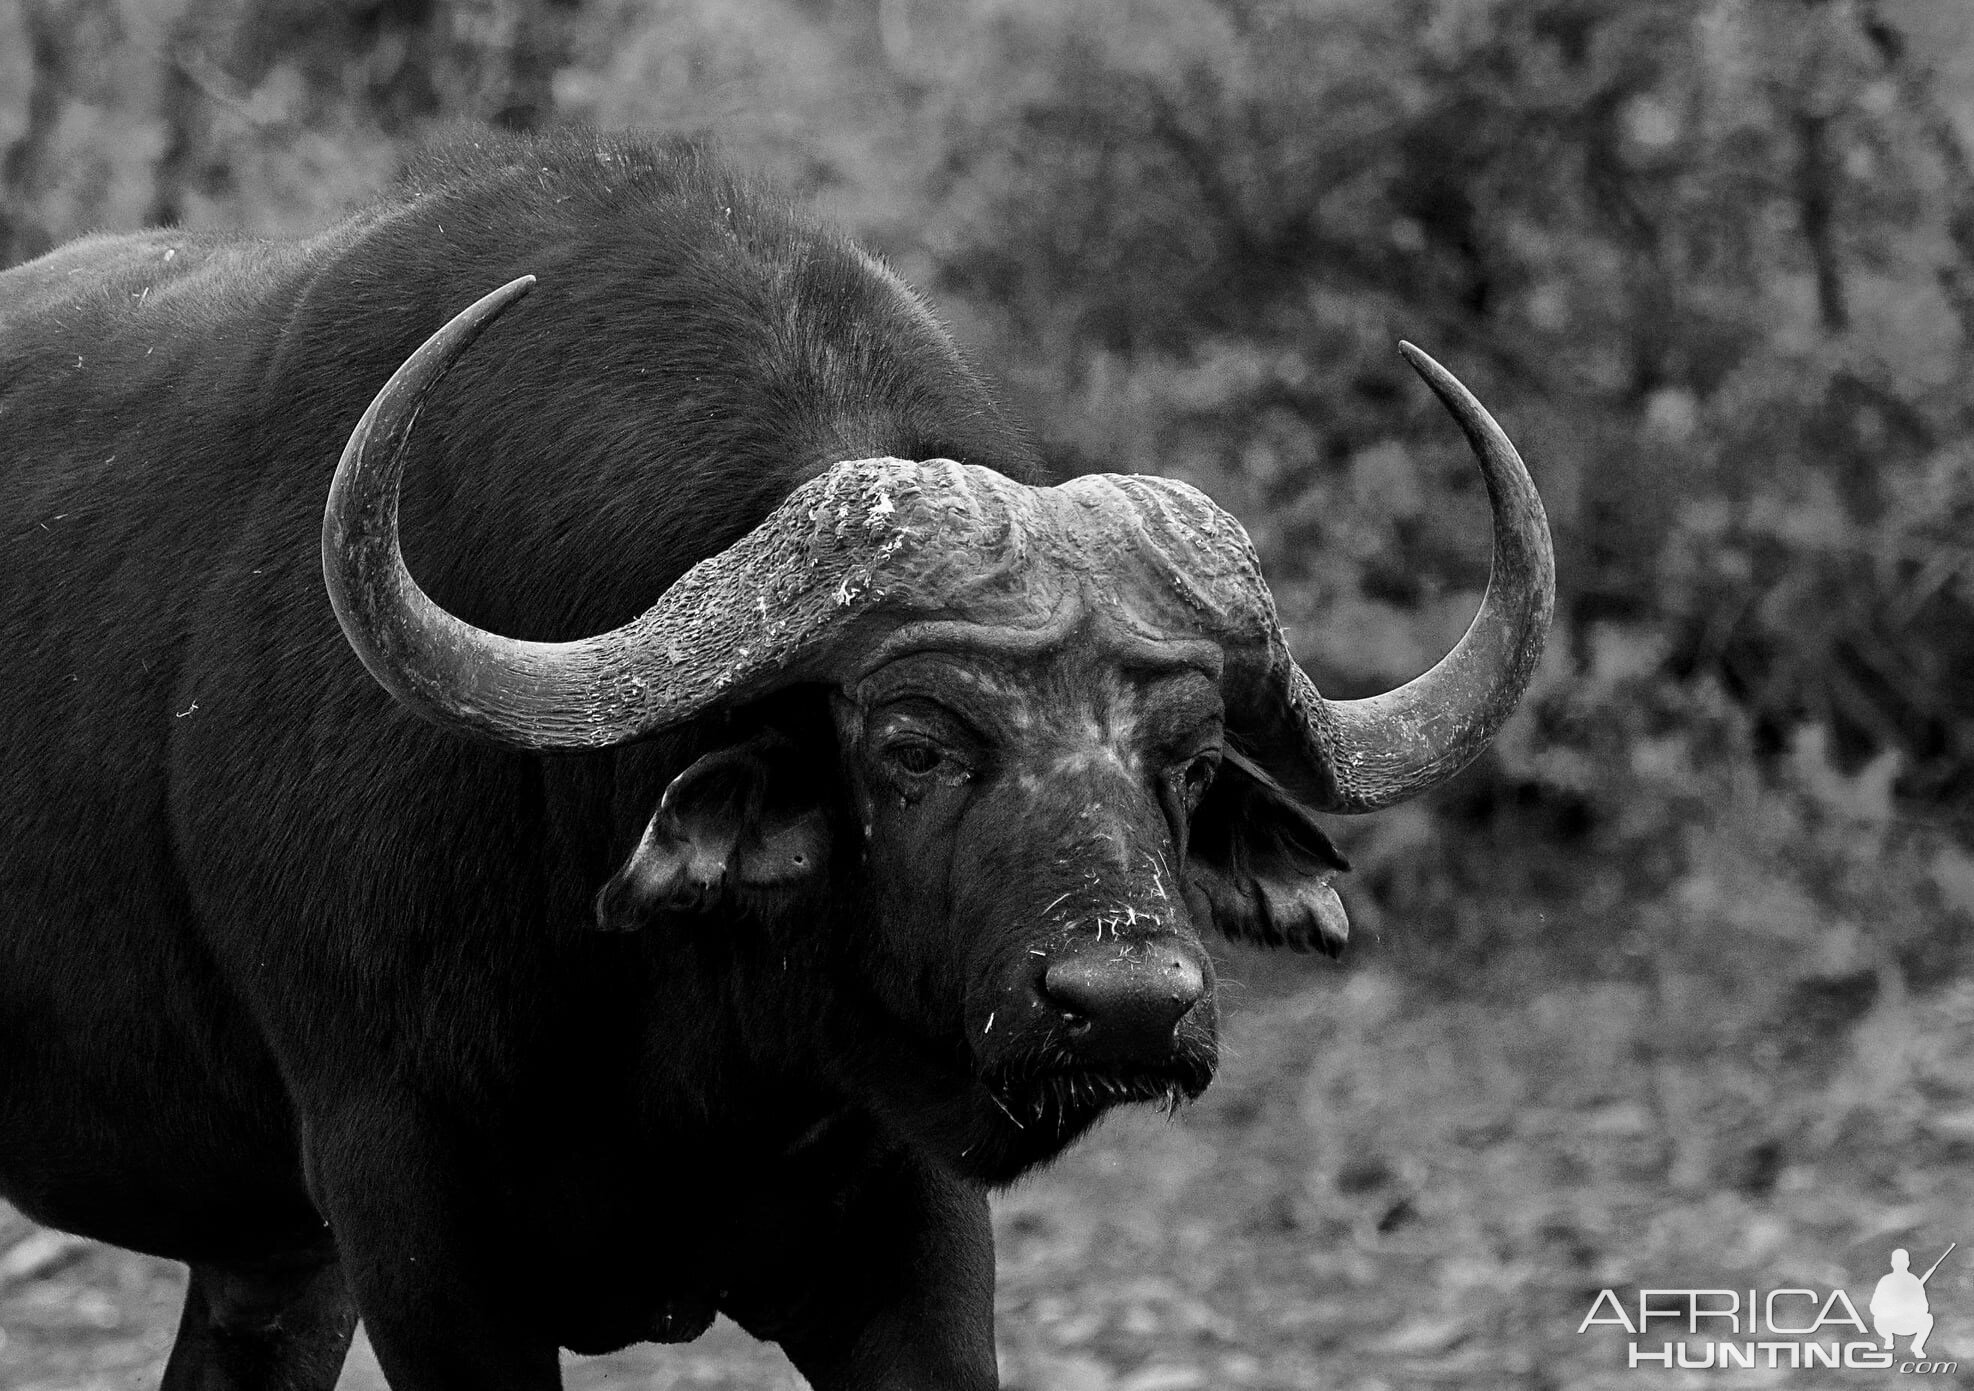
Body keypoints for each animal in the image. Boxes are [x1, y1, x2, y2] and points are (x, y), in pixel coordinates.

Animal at [0, 124, 1547, 1381]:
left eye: (1186, 759)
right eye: (913, 742)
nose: (1124, 1003)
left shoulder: (909, 1229)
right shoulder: (411, 1223)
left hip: (269, 1256)